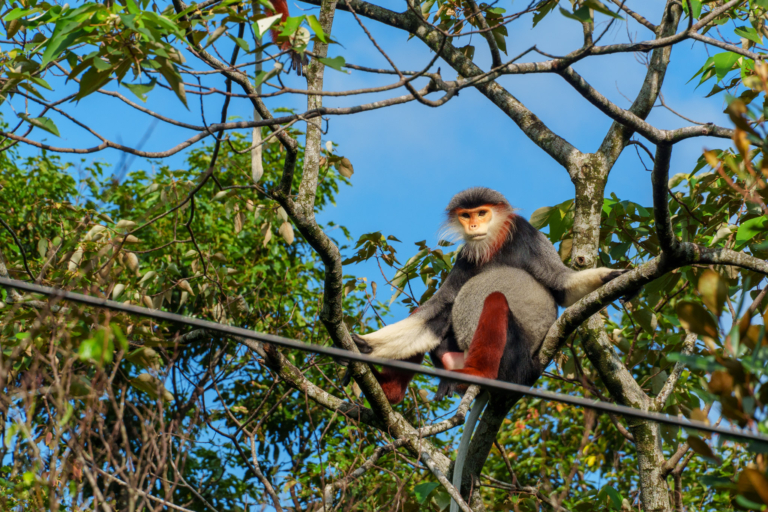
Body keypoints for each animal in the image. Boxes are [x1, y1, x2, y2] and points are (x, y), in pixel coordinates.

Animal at [351, 187, 627, 404]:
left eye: (482, 213)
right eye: (466, 215)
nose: (473, 225)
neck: (493, 245)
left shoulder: (527, 233)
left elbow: (563, 286)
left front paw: (613, 276)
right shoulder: (466, 257)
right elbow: (437, 309)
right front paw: (364, 345)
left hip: (516, 361)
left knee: (495, 299)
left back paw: (479, 375)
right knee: (433, 319)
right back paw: (392, 391)